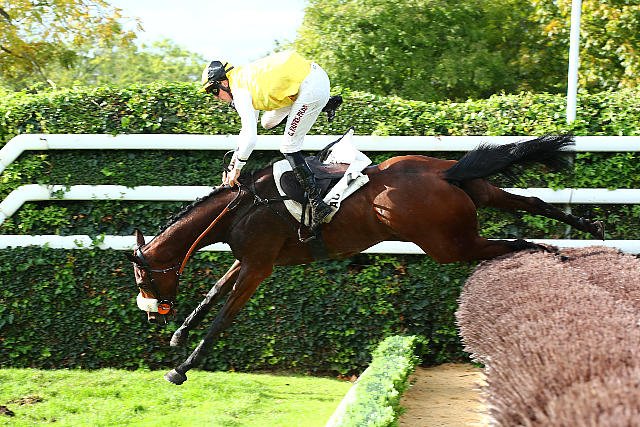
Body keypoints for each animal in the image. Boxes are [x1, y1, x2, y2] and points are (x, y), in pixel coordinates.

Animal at [125, 135, 604, 385]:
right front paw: (179, 337)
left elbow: (223, 316)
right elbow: (211, 293)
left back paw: (555, 258)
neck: (241, 207)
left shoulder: (259, 267)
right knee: (531, 202)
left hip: (450, 245)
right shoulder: (247, 262)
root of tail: (444, 173)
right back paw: (587, 227)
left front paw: (181, 368)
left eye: (142, 281)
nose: (150, 314)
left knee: (516, 241)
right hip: (476, 194)